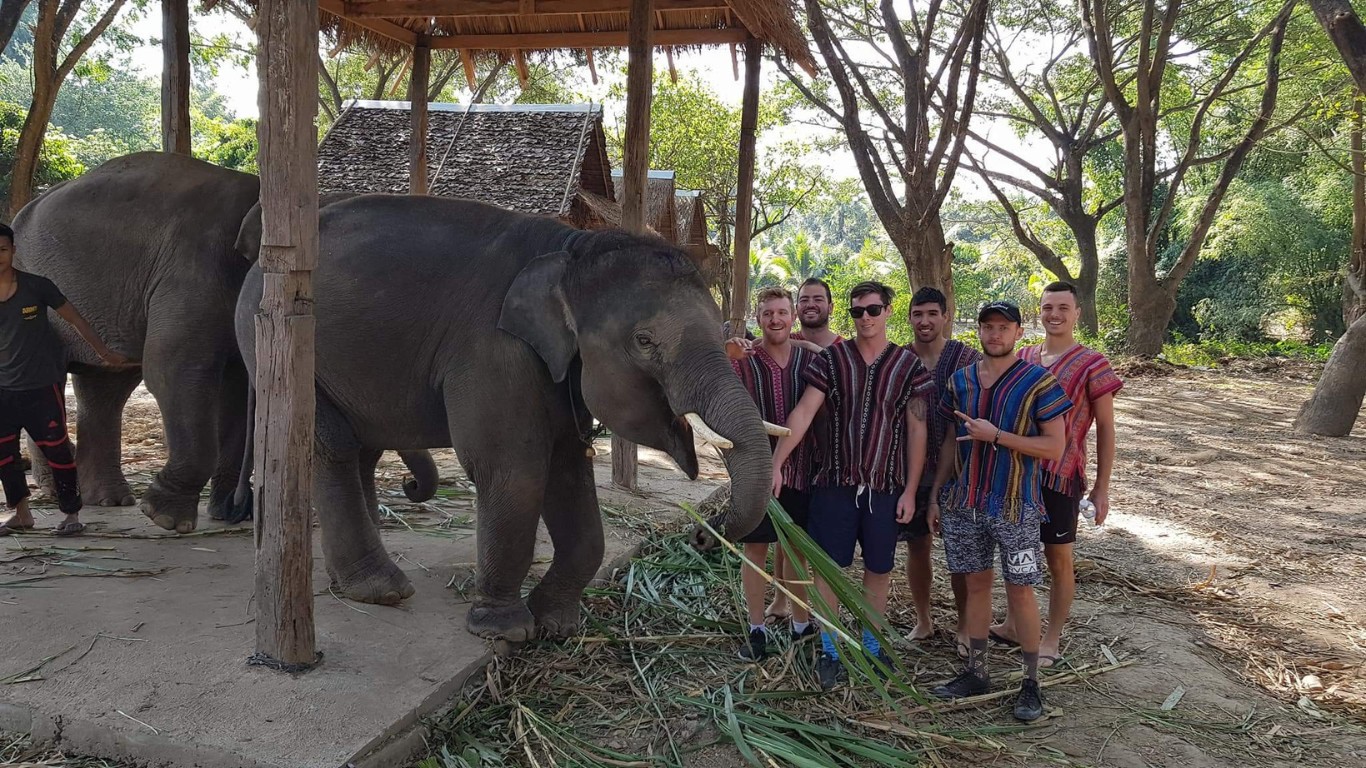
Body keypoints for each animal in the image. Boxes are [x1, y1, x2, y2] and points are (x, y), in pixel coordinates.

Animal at [12, 152, 437, 530]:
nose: (410, 484)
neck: (265, 200)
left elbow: (238, 389)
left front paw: (229, 513)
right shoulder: (192, 269)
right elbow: (172, 369)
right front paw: (165, 517)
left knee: (107, 385)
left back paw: (108, 499)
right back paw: (63, 495)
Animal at [229, 192, 775, 639]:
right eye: (644, 342)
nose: (701, 533)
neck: (573, 249)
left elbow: (567, 470)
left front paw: (557, 624)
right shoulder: (494, 350)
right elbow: (513, 470)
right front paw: (505, 631)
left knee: (359, 448)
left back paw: (352, 582)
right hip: (273, 336)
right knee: (331, 445)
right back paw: (381, 589)